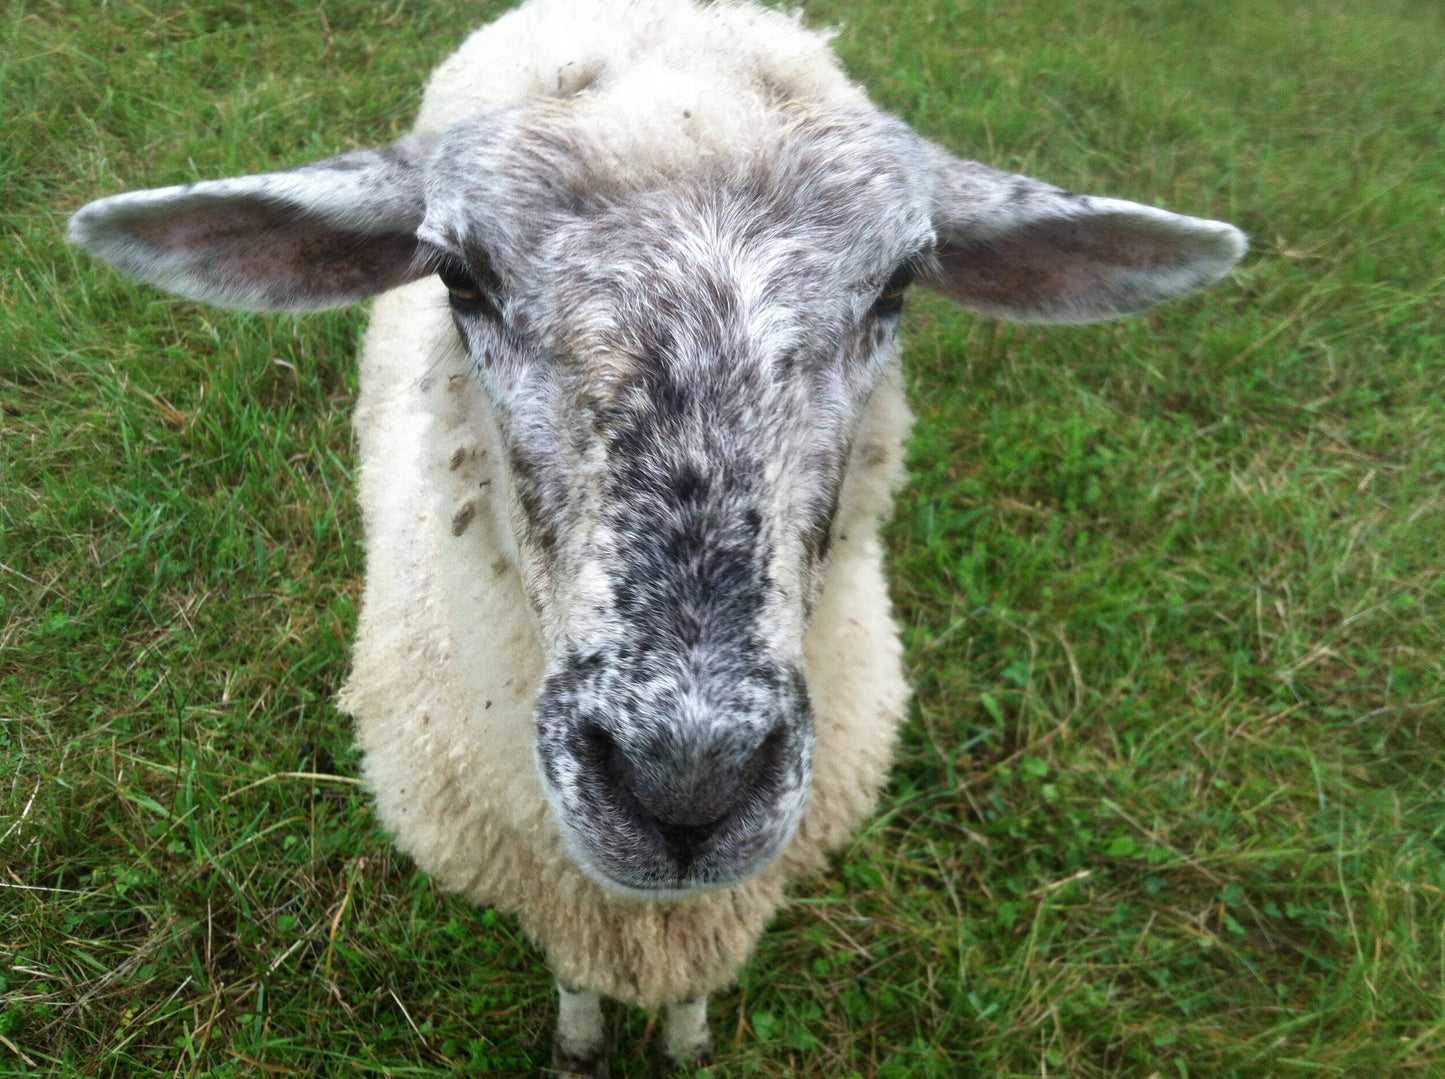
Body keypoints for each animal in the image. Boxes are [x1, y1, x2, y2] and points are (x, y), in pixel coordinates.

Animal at [67, 0, 1242, 1074]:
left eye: (899, 284)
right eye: (457, 274)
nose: (686, 784)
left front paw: (685, 1048)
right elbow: (575, 988)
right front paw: (580, 1049)